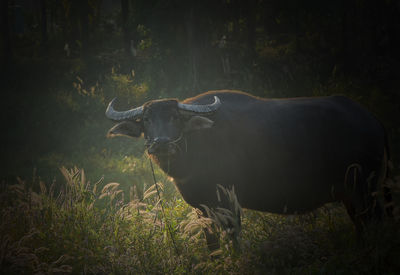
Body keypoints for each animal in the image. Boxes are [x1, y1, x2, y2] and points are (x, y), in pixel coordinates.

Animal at [105, 91, 390, 247]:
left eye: (175, 117)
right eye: (146, 120)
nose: (162, 143)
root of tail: (371, 119)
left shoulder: (230, 204)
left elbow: (234, 241)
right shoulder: (202, 209)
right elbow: (212, 245)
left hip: (363, 190)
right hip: (354, 193)